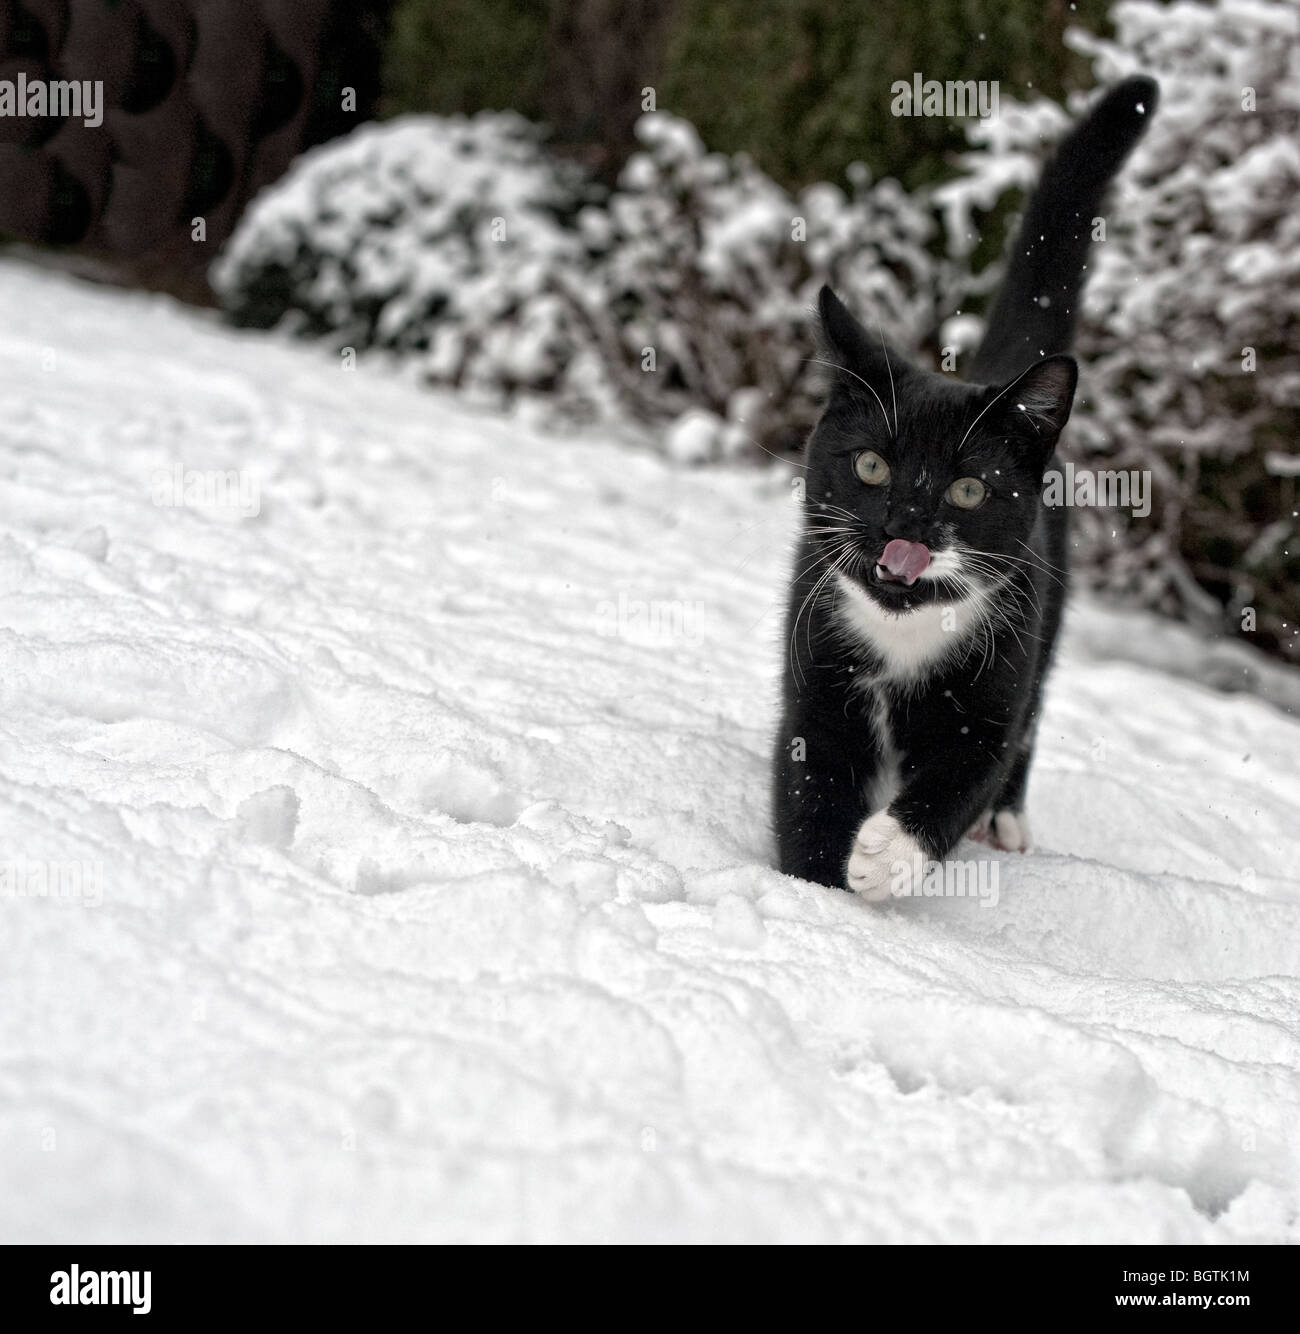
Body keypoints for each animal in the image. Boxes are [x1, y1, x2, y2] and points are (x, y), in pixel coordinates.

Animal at [773, 80, 1157, 896]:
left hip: (1049, 608)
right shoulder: (815, 667)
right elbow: (810, 785)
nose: (906, 526)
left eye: (970, 492)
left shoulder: (995, 683)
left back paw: (1006, 820)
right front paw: (812, 894)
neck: (905, 635)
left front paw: (885, 856)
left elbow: (963, 775)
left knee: (1032, 717)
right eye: (872, 467)